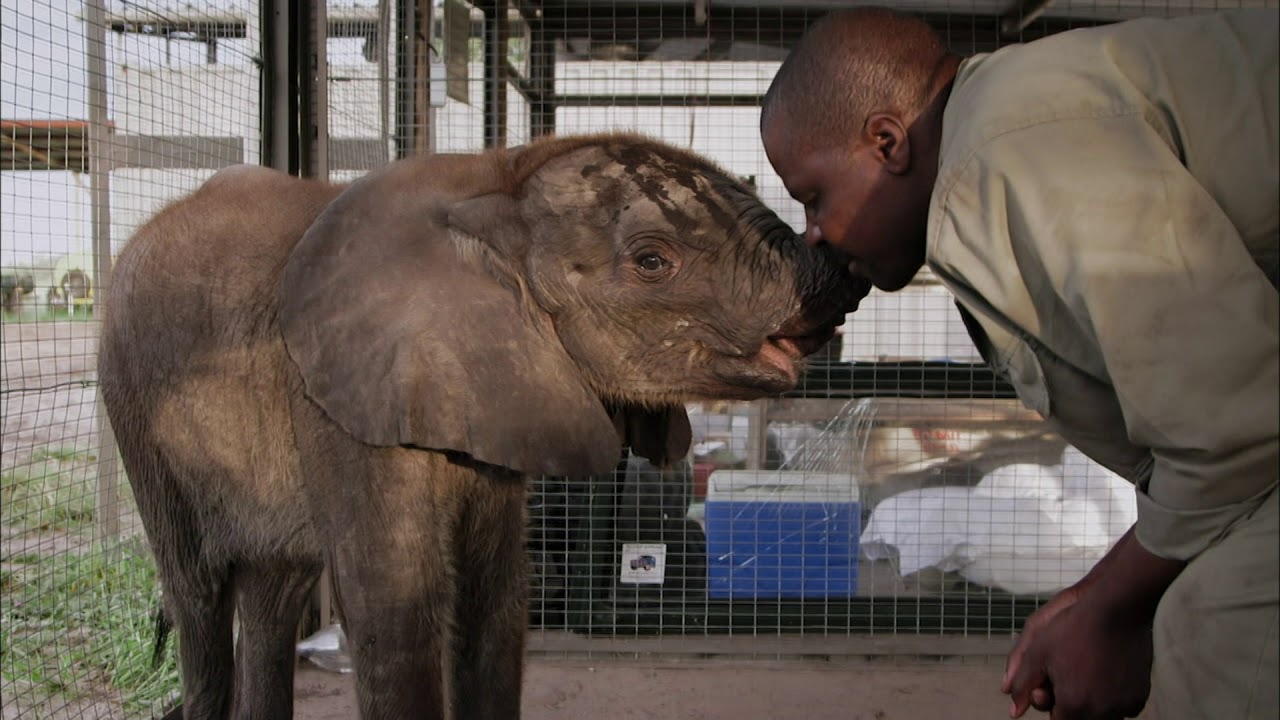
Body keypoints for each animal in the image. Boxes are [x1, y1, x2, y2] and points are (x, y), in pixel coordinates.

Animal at [97, 132, 869, 720]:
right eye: (653, 261)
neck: (495, 184)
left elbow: (495, 602)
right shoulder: (338, 400)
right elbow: (394, 612)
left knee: (273, 588)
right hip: (131, 397)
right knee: (197, 592)